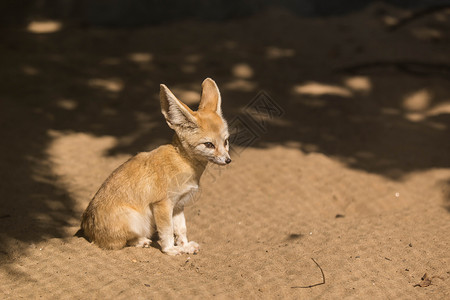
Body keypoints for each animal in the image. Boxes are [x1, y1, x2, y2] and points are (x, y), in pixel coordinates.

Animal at [80, 78, 232, 255]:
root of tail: (86, 227)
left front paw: (185, 245)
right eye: (209, 145)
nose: (228, 160)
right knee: (119, 242)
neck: (181, 161)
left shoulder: (178, 205)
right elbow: (167, 231)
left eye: (226, 142)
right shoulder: (162, 204)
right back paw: (141, 241)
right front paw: (170, 250)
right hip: (136, 220)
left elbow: (181, 229)